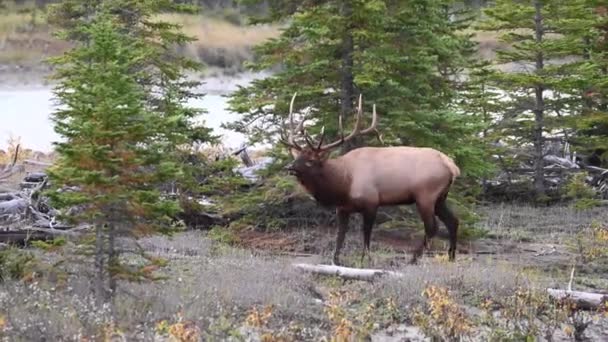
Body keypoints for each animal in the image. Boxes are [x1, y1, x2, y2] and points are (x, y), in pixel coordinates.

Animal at [280, 92, 460, 266]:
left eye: (310, 161)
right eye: (297, 157)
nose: (289, 167)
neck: (343, 184)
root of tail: (451, 166)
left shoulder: (371, 202)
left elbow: (366, 233)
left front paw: (365, 259)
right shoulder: (342, 208)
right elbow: (340, 235)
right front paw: (335, 260)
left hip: (425, 195)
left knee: (432, 227)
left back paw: (413, 259)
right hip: (441, 197)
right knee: (453, 221)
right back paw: (451, 257)